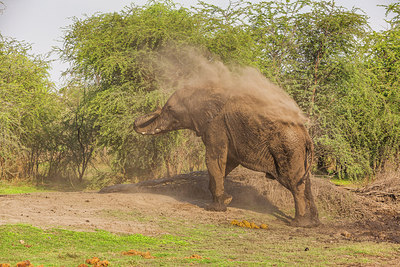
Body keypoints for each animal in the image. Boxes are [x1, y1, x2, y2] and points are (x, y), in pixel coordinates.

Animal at [134, 82, 318, 227]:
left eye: (170, 109)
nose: (156, 107)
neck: (206, 90)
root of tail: (306, 136)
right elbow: (227, 162)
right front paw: (223, 200)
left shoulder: (216, 125)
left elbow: (213, 159)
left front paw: (216, 208)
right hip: (298, 152)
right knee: (306, 182)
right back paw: (314, 223)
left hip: (288, 149)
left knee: (294, 182)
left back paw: (298, 223)